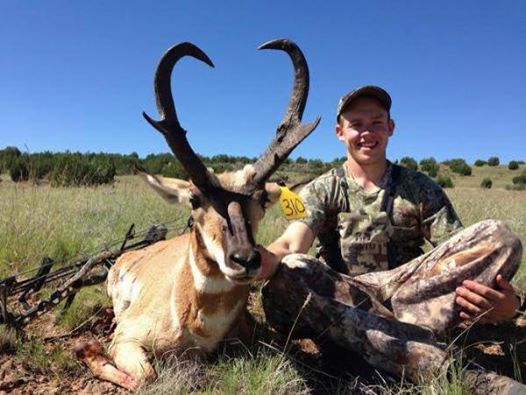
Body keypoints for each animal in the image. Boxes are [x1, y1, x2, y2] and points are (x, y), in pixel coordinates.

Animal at [74, 38, 322, 392]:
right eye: (194, 199)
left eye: (261, 199)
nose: (245, 259)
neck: (197, 322)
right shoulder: (125, 340)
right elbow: (146, 377)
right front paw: (88, 349)